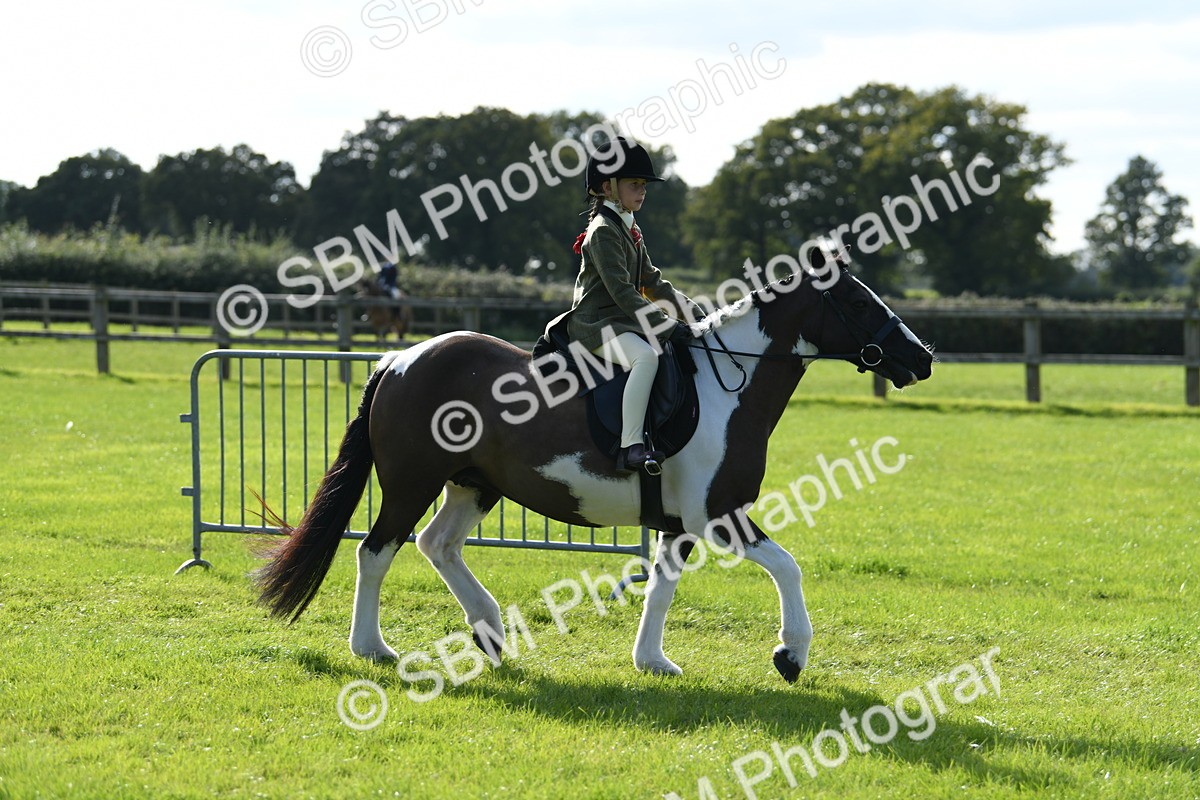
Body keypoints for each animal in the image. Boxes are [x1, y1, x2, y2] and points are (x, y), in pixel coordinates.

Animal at [255, 259, 934, 682]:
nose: (923, 358)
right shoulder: (718, 517)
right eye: (856, 299)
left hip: (474, 485)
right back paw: (372, 647)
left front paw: (652, 661)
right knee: (377, 550)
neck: (728, 387)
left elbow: (661, 587)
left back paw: (491, 633)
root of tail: (400, 358)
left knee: (437, 545)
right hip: (412, 481)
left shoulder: (680, 525)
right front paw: (790, 655)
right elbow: (789, 568)